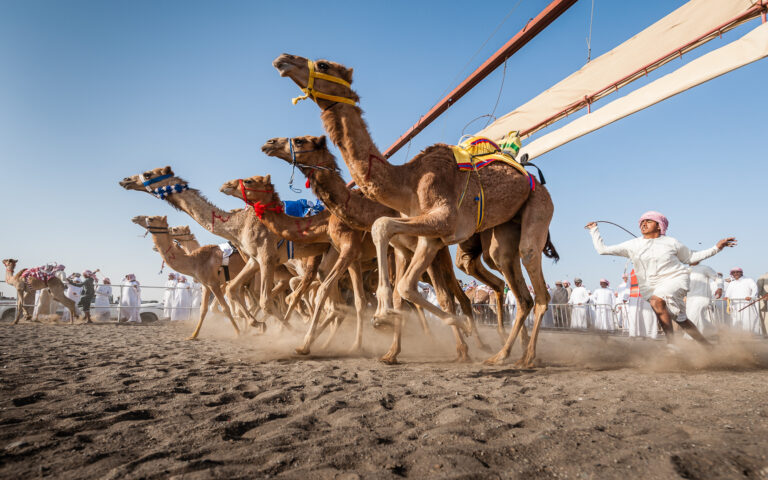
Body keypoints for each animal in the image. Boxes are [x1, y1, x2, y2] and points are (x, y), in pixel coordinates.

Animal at [119, 167, 330, 332]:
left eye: (148, 173)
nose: (125, 180)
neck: (238, 226)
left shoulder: (265, 258)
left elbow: (262, 301)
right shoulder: (252, 261)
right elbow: (232, 293)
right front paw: (256, 324)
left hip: (307, 262)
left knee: (307, 291)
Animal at [273, 54, 558, 367]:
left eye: (323, 65)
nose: (283, 60)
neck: (406, 181)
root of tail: (532, 178)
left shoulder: (442, 220)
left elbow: (385, 235)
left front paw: (388, 320)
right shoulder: (425, 237)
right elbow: (405, 286)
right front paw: (392, 347)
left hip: (539, 205)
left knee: (535, 279)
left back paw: (525, 357)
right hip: (503, 230)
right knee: (517, 288)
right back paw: (501, 353)